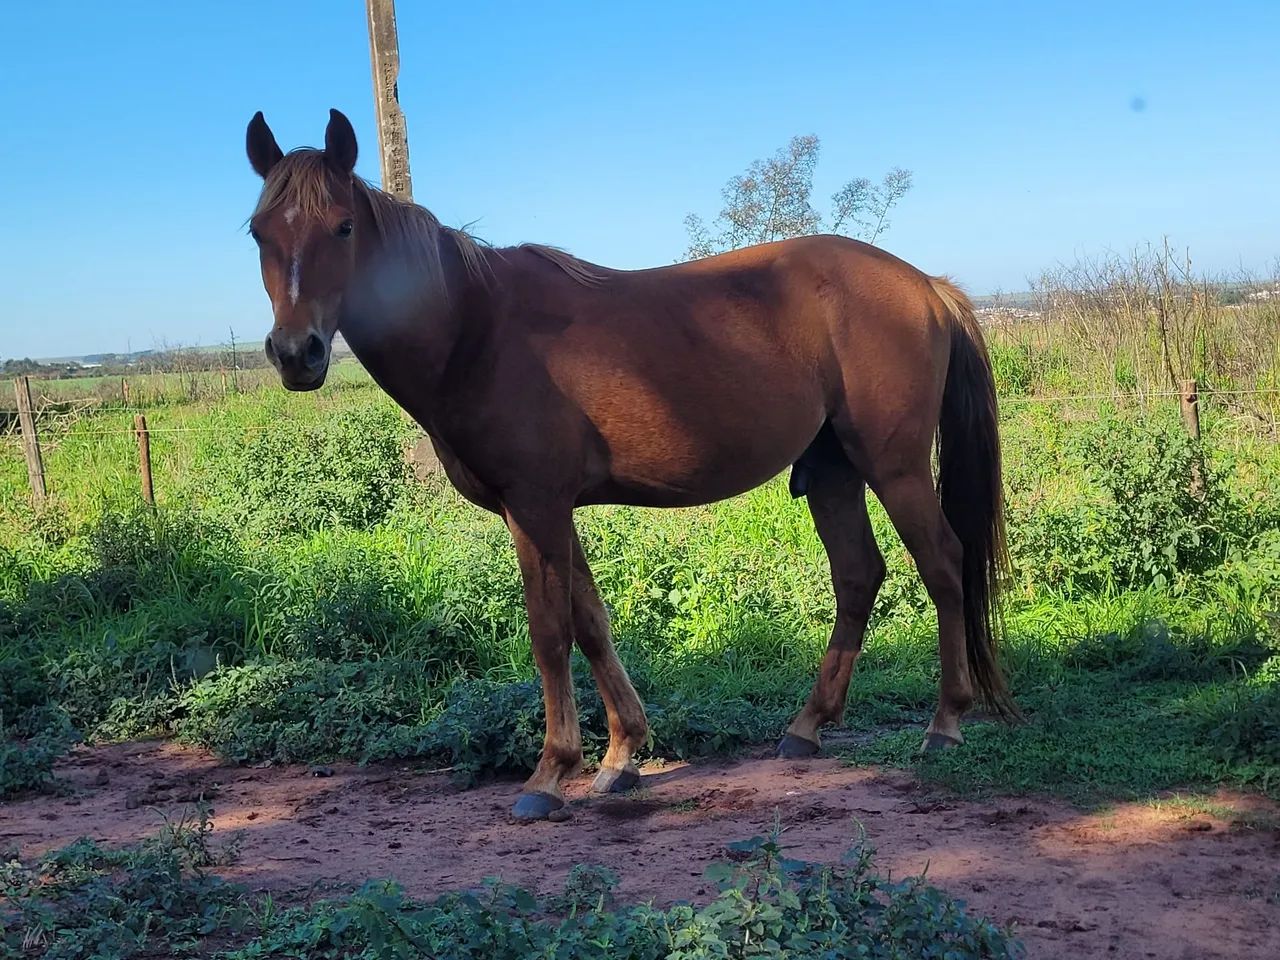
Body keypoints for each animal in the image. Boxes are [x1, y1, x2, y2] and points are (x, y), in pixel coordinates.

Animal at [244, 108, 1017, 823]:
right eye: (258, 231)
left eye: (344, 227)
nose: (297, 353)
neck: (475, 329)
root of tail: (925, 285)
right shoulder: (547, 509)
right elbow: (591, 623)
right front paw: (621, 756)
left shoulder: (535, 505)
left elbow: (549, 632)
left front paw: (550, 772)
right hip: (832, 470)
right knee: (859, 575)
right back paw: (808, 727)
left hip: (895, 467)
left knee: (943, 565)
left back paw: (945, 722)